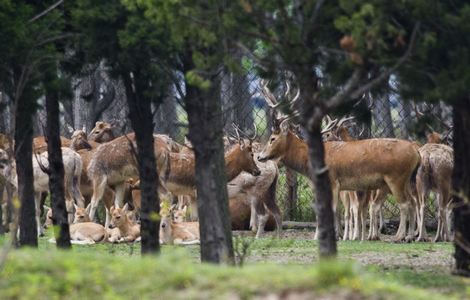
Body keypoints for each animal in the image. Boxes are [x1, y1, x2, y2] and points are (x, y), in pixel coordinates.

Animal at [258, 81, 420, 241]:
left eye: (272, 138)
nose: (260, 156)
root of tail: (416, 152)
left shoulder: (333, 181)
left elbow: (332, 209)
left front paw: (327, 236)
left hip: (396, 178)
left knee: (404, 204)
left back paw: (399, 236)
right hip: (405, 180)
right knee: (412, 202)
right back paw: (410, 236)